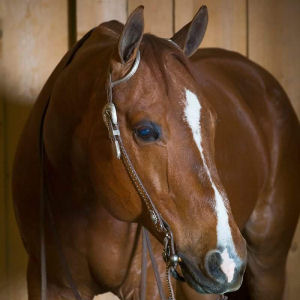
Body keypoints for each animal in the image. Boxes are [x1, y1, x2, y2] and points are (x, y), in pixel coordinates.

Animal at [12, 4, 298, 300]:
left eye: (213, 122)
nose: (227, 260)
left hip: (267, 266)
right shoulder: (51, 285)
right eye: (146, 131)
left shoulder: (149, 283)